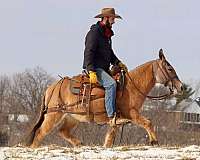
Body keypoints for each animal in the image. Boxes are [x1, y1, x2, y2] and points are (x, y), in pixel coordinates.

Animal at [23, 48, 183, 148]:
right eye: (169, 68)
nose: (181, 87)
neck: (132, 86)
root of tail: (51, 88)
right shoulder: (131, 113)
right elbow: (148, 122)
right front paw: (154, 141)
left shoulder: (115, 123)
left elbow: (109, 140)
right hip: (53, 115)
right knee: (40, 134)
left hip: (72, 117)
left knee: (63, 131)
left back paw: (80, 144)